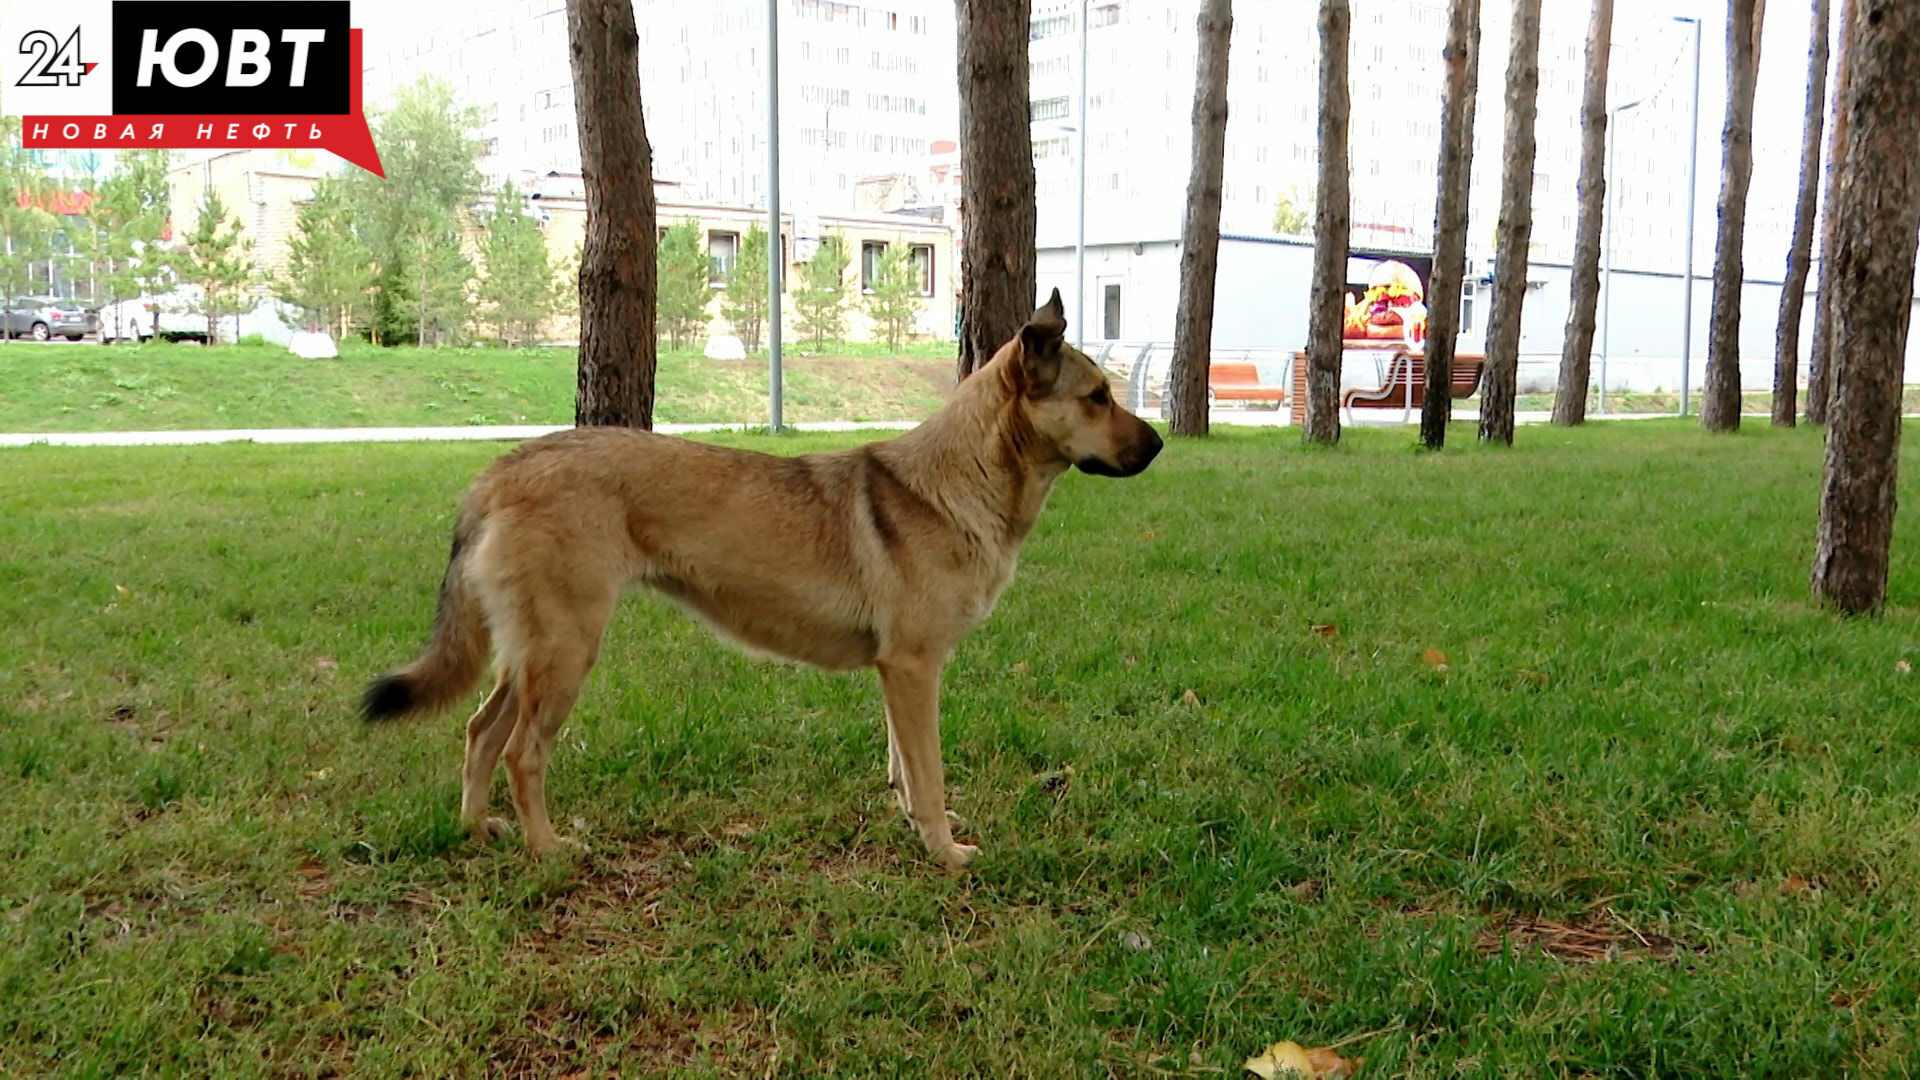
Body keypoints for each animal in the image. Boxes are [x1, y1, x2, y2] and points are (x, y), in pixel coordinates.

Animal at [364, 288, 1159, 864]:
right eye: (1098, 397)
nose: (1156, 445)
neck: (956, 484)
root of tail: (501, 470)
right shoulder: (914, 668)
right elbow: (928, 775)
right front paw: (945, 853)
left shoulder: (897, 674)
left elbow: (904, 769)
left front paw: (914, 827)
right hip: (565, 654)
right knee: (521, 754)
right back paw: (547, 850)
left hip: (528, 655)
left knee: (479, 733)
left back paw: (477, 833)